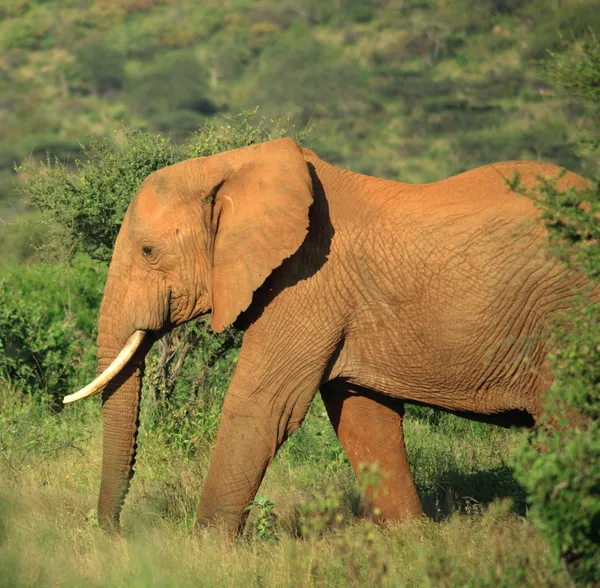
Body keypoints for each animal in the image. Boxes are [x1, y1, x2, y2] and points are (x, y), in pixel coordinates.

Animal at [63, 137, 592, 532]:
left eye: (148, 251)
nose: (115, 534)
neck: (231, 166)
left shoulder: (307, 281)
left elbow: (261, 407)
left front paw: (204, 552)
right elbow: (363, 416)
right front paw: (413, 542)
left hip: (569, 313)